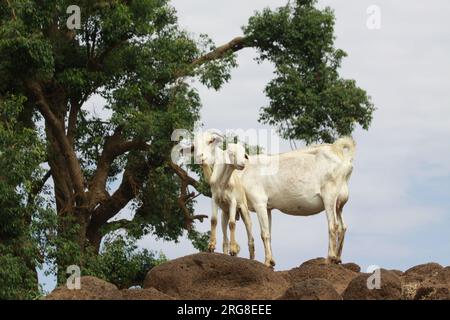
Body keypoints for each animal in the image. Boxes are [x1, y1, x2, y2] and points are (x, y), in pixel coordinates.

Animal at [193, 131, 356, 266]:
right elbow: (269, 233)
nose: (200, 157)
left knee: (333, 225)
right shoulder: (267, 207)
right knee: (343, 226)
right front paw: (271, 261)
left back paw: (329, 258)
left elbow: (263, 233)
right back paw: (338, 259)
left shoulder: (259, 202)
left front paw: (267, 262)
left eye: (211, 141)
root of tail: (342, 156)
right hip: (339, 203)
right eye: (194, 145)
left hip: (329, 197)